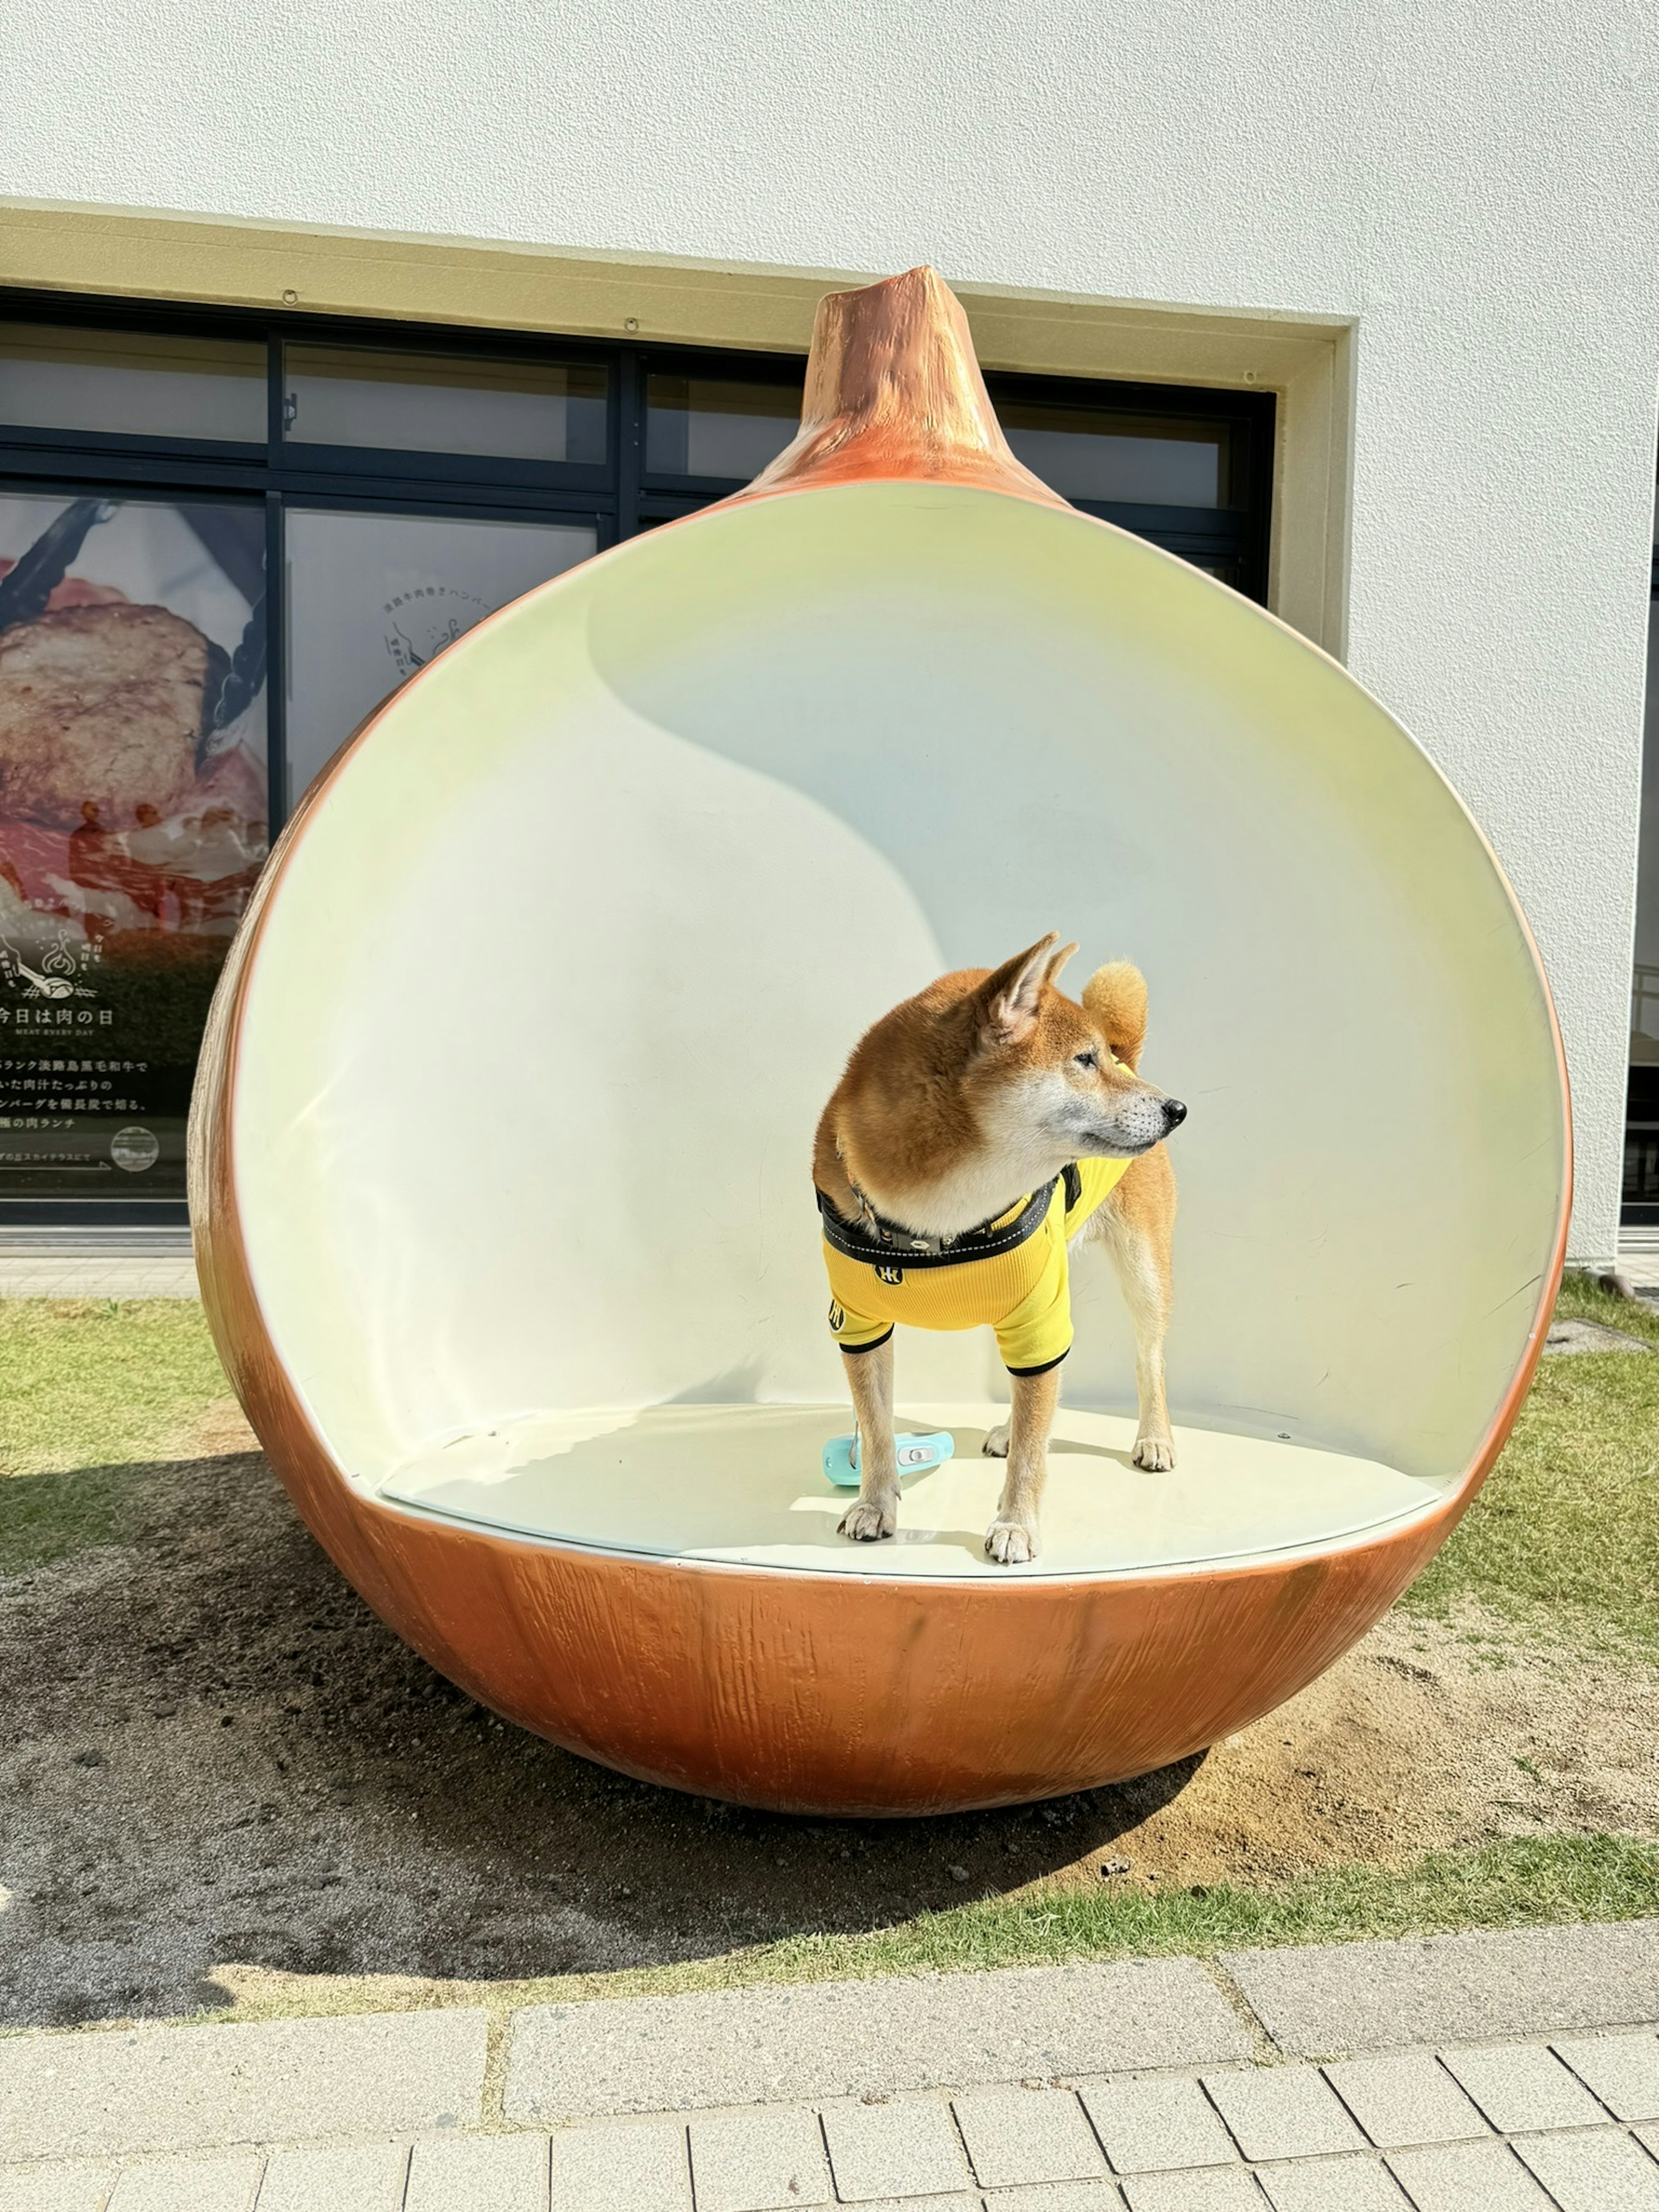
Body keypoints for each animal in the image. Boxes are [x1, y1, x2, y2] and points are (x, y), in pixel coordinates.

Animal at [814, 933, 1185, 1575]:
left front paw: (1016, 1523)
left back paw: (1154, 1437)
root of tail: (1136, 1057)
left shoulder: (1039, 1315)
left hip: (1142, 1272)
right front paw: (875, 1505)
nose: (1177, 1109)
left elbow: (1034, 1452)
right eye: (1084, 1061)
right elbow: (878, 1427)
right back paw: (1013, 1428)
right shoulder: (860, 1325)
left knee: (1147, 1361)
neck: (937, 1222)